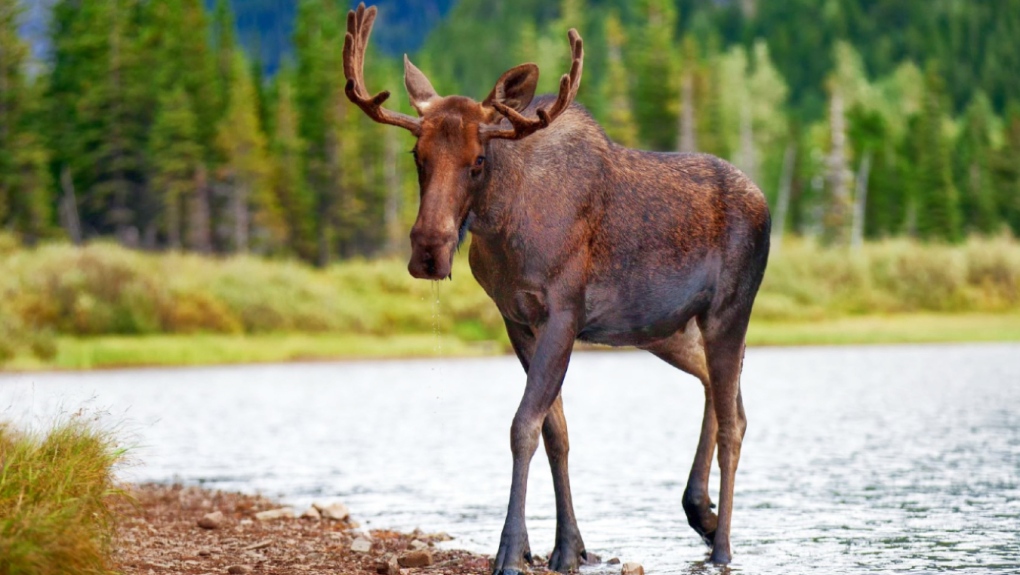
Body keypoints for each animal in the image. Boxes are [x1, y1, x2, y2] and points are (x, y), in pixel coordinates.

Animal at [338, 3, 767, 570]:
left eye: (478, 160)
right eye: (417, 156)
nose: (429, 249)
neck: (504, 230)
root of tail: (765, 203)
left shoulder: (563, 313)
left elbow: (523, 425)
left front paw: (511, 550)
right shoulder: (517, 319)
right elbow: (554, 431)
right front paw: (568, 547)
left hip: (729, 310)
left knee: (734, 419)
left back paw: (721, 546)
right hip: (666, 329)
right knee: (720, 391)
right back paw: (702, 511)